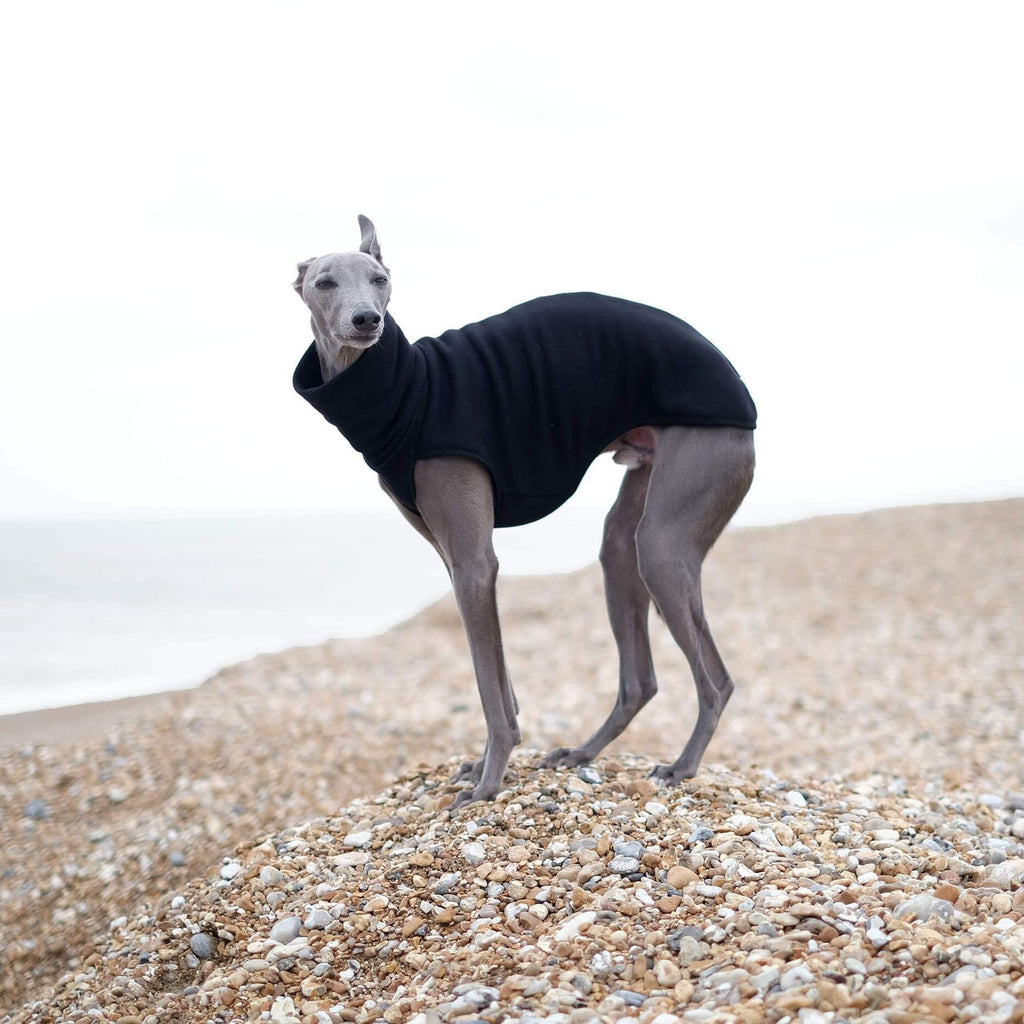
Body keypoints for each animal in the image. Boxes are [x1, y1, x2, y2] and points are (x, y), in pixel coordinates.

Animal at [292, 216, 757, 806]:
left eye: (380, 278)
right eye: (325, 282)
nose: (366, 320)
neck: (409, 388)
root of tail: (741, 393)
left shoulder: (475, 563)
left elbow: (490, 690)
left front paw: (489, 782)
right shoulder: (457, 562)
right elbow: (498, 680)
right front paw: (484, 764)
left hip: (669, 530)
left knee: (716, 680)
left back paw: (681, 766)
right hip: (628, 535)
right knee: (643, 678)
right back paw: (582, 752)